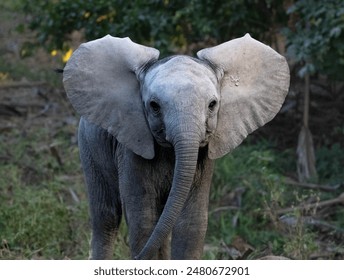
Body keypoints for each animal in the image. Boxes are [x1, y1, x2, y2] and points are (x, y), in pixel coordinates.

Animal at [63, 34, 288, 260]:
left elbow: (190, 225)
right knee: (106, 216)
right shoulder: (132, 147)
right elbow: (143, 222)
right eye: (154, 106)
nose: (134, 258)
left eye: (212, 105)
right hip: (88, 143)